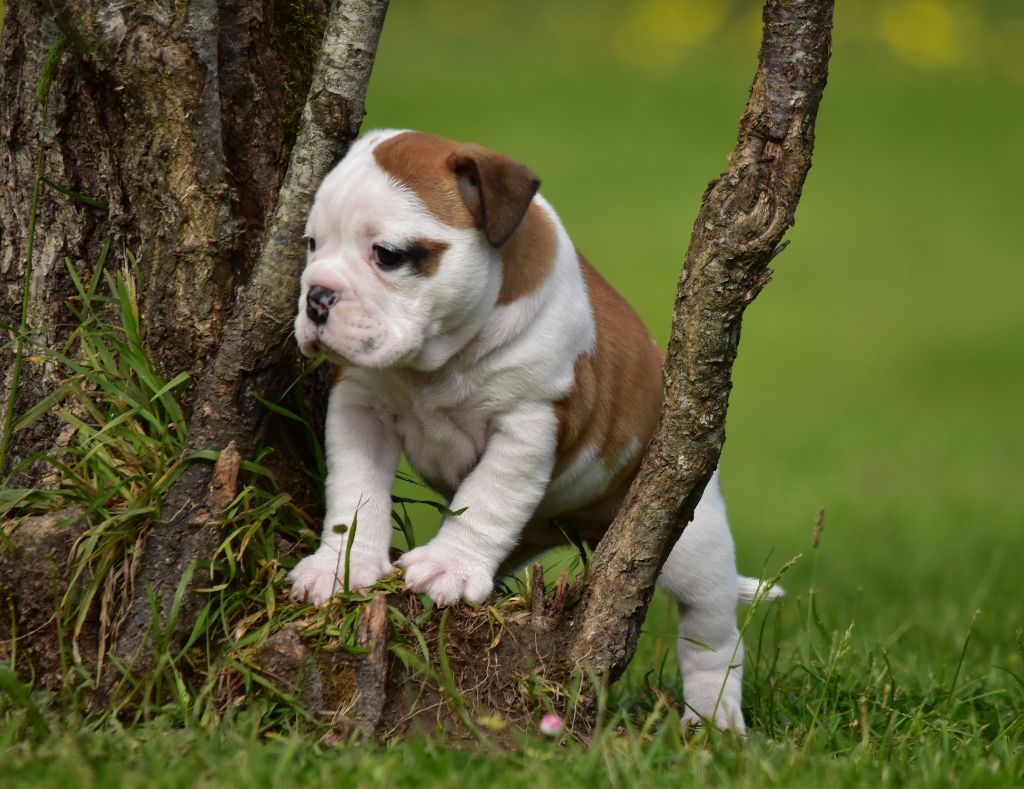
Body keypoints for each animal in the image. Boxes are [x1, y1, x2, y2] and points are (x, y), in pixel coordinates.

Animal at [286, 130, 770, 732]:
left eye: (390, 255)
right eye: (311, 244)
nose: (316, 297)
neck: (440, 359)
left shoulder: (529, 422)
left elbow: (487, 495)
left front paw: (448, 566)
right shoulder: (359, 407)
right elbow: (356, 493)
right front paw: (341, 565)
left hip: (689, 544)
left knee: (712, 634)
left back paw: (713, 721)